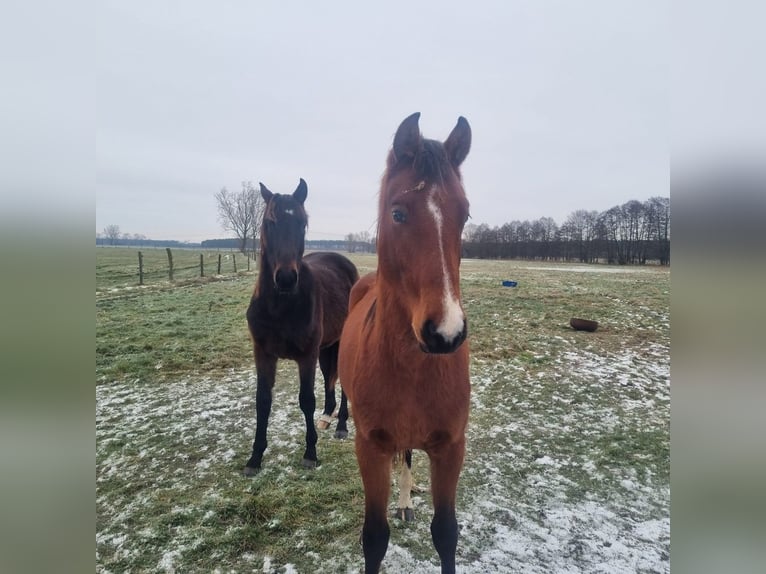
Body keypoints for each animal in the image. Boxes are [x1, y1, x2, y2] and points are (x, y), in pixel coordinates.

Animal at [244, 180, 358, 476]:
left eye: (302, 223)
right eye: (269, 222)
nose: (285, 278)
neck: (280, 307)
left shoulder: (306, 356)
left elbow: (306, 400)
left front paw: (310, 453)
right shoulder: (263, 354)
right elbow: (263, 401)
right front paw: (255, 457)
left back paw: (341, 425)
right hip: (327, 346)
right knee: (330, 377)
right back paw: (327, 417)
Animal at [342, 113, 474, 574]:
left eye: (465, 215)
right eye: (397, 212)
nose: (445, 332)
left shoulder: (450, 448)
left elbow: (446, 533)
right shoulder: (371, 448)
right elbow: (374, 537)